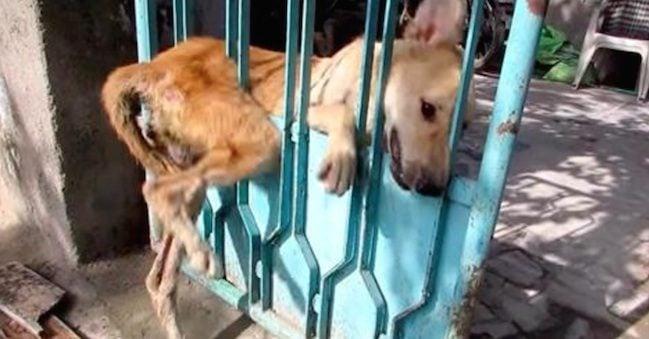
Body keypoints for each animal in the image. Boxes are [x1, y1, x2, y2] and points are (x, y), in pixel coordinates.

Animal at [104, 0, 474, 338]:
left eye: (465, 128)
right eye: (427, 108)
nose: (434, 189)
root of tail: (156, 63)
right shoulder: (295, 110)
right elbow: (340, 113)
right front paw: (342, 155)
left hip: (196, 174)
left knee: (161, 278)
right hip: (261, 140)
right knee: (156, 191)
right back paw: (200, 251)